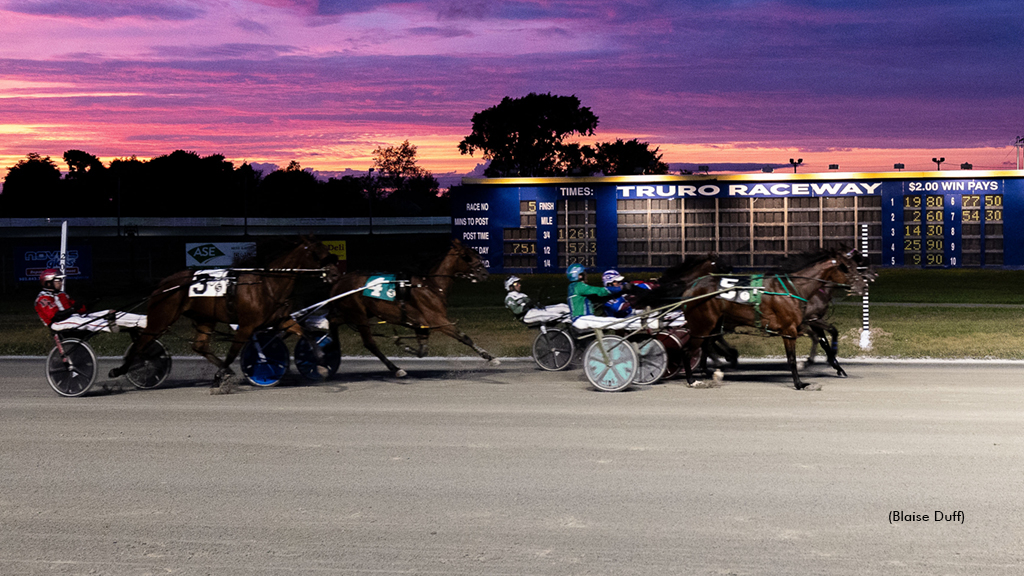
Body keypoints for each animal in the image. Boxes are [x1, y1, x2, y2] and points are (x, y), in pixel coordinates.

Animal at [110, 234, 337, 389]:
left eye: (327, 248)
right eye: (316, 252)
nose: (335, 273)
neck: (267, 285)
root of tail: (162, 285)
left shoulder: (281, 319)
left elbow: (305, 333)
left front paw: (321, 361)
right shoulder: (246, 326)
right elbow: (233, 351)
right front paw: (221, 376)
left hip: (205, 318)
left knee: (199, 346)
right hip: (162, 318)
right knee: (142, 342)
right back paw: (121, 369)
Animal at [321, 237, 493, 377]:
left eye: (477, 255)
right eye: (467, 256)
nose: (484, 274)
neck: (430, 286)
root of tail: (338, 282)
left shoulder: (421, 324)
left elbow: (423, 350)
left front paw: (407, 347)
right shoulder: (437, 319)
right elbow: (463, 337)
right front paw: (489, 356)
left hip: (353, 312)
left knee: (332, 322)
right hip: (358, 314)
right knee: (369, 343)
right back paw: (396, 369)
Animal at [679, 249, 864, 387]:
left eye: (856, 265)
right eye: (845, 267)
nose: (862, 285)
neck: (794, 289)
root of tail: (690, 288)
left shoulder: (806, 322)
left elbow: (822, 338)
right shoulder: (790, 329)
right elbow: (792, 358)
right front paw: (799, 382)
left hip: (715, 324)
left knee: (706, 345)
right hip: (702, 325)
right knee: (689, 350)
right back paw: (692, 379)